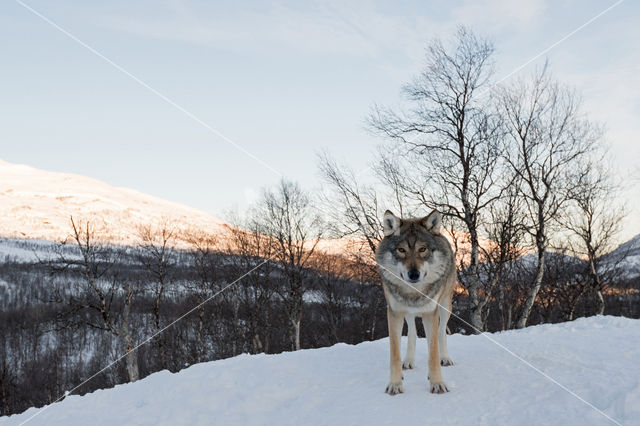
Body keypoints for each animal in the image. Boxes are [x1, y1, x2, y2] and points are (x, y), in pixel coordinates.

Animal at [376, 210, 456, 396]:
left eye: (422, 249)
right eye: (401, 250)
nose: (414, 274)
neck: (414, 292)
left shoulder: (430, 312)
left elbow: (433, 351)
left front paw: (437, 383)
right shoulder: (394, 313)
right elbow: (395, 353)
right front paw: (395, 384)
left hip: (445, 307)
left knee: (440, 333)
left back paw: (444, 358)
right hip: (409, 314)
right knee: (412, 332)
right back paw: (408, 361)